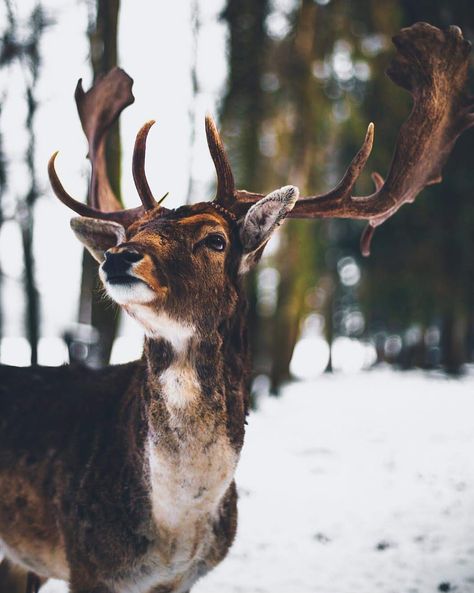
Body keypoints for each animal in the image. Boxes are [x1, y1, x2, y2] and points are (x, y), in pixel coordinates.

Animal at [0, 20, 472, 592]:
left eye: (215, 239)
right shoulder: (87, 562)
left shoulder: (183, 577)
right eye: (131, 232)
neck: (176, 530)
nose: (117, 256)